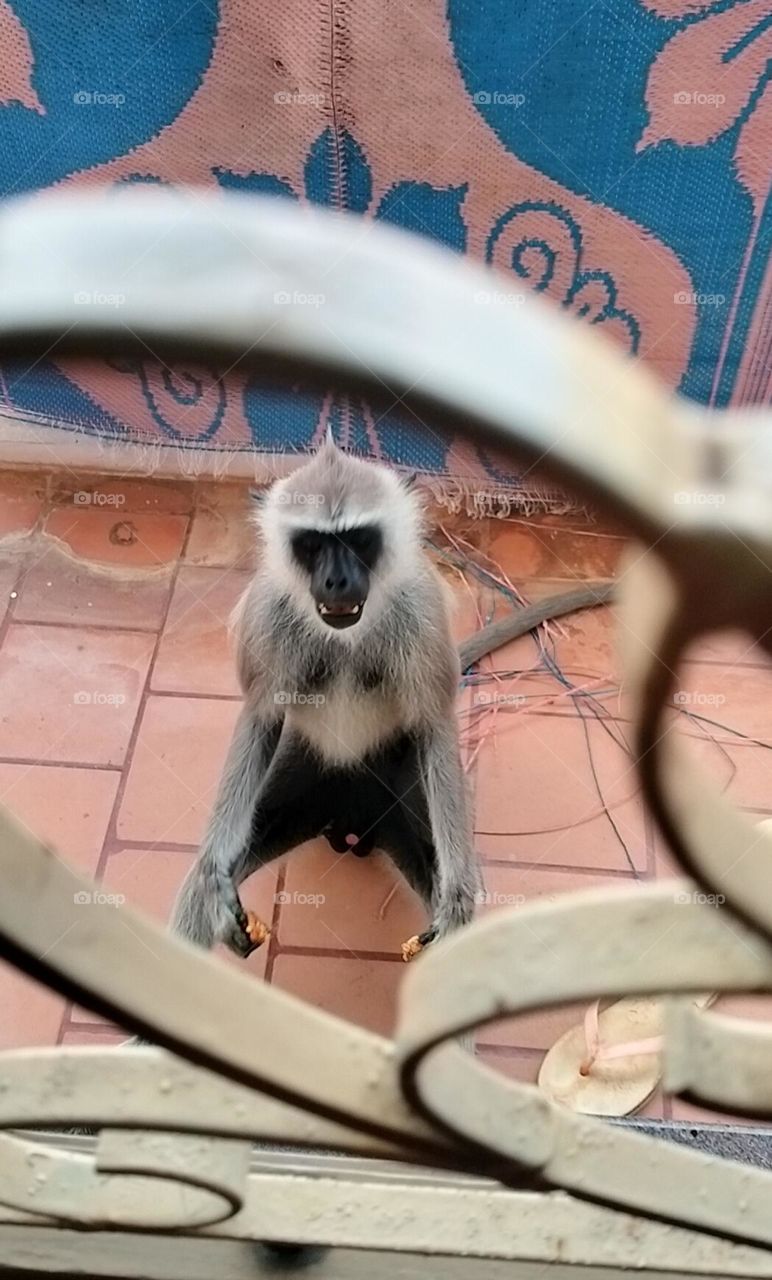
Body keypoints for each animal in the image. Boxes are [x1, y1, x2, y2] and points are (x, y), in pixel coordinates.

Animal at [170, 434, 615, 966]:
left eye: (358, 539)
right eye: (313, 544)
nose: (337, 581)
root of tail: (350, 820)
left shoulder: (418, 611)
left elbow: (434, 721)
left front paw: (458, 896)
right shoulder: (268, 614)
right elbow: (261, 717)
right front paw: (214, 876)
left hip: (400, 782)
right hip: (306, 771)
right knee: (202, 887)